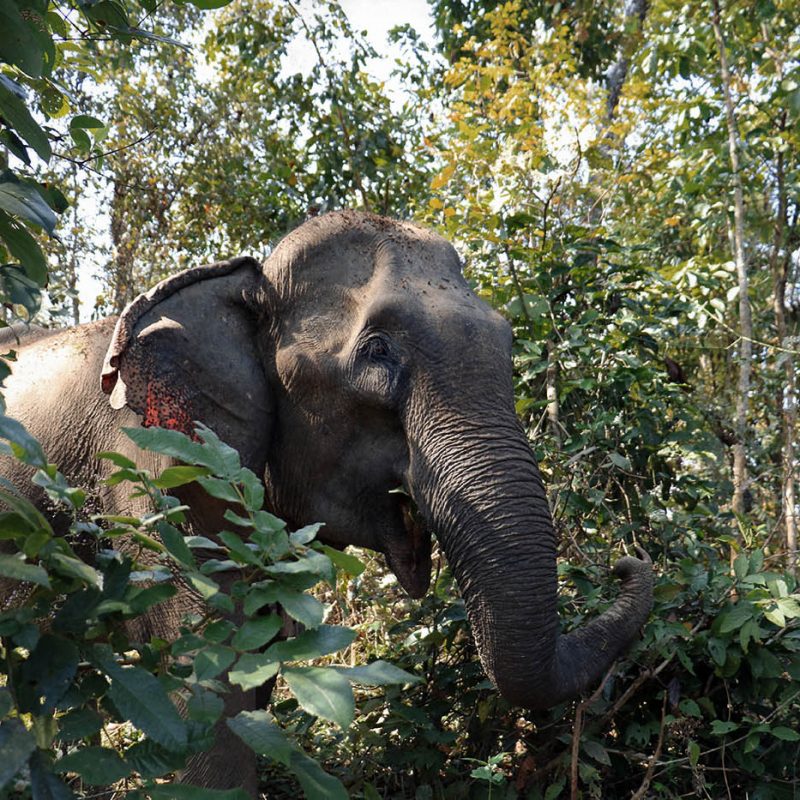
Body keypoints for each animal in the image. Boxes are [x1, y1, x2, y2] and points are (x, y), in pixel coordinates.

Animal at [0, 211, 652, 792]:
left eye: (509, 340)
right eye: (378, 352)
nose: (628, 562)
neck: (245, 279)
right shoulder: (154, 484)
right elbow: (208, 686)